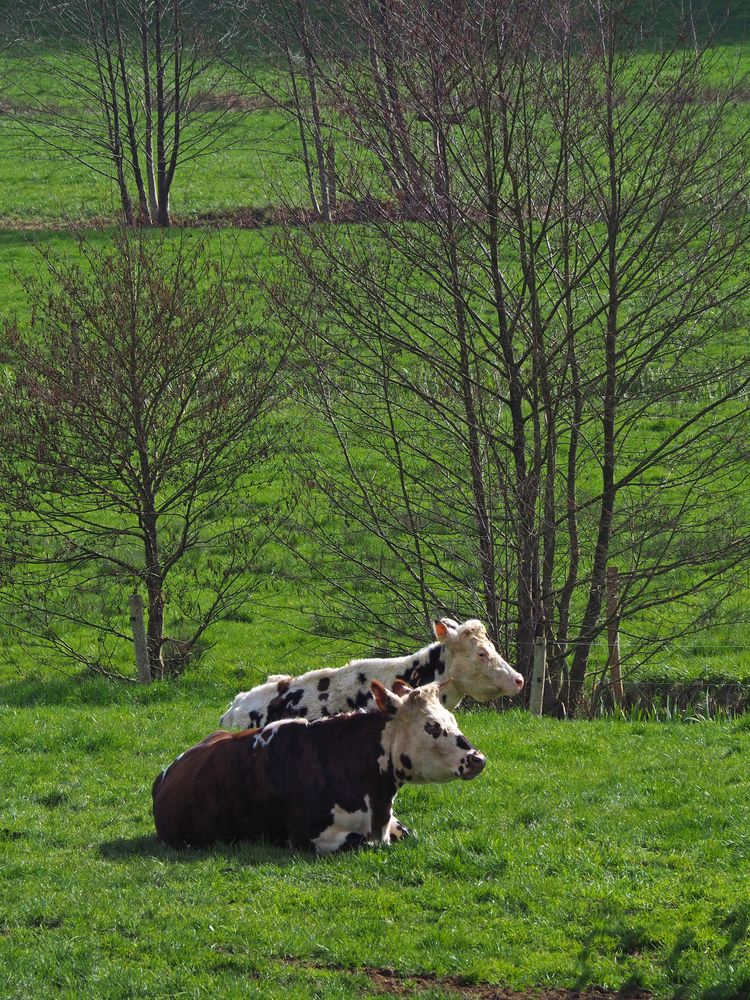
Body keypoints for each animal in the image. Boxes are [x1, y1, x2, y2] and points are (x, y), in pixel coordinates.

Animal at [153, 680, 488, 852]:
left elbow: (406, 833)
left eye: (452, 719)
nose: (478, 758)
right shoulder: (308, 835)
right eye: (432, 726)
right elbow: (359, 842)